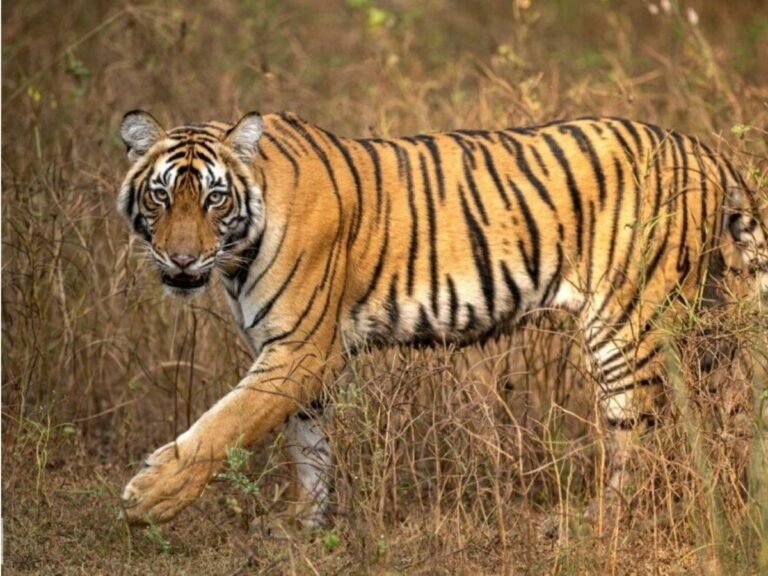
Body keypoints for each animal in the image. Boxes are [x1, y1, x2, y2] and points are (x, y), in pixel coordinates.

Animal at [117, 109, 766, 528]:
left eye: (214, 198)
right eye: (161, 195)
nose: (181, 259)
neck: (238, 250)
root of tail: (704, 150)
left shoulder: (300, 349)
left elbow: (226, 425)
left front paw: (149, 497)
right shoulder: (292, 354)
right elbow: (308, 443)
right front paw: (305, 523)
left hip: (627, 323)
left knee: (637, 432)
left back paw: (600, 520)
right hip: (701, 317)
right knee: (724, 403)